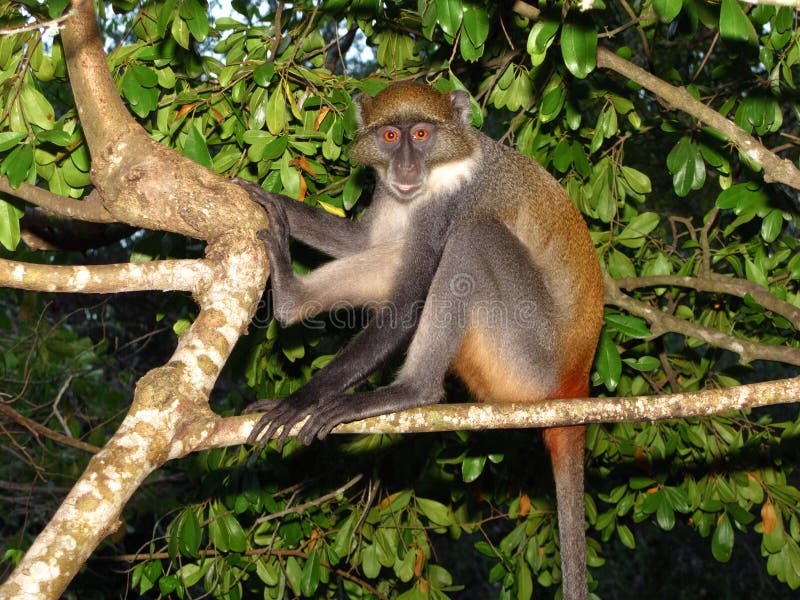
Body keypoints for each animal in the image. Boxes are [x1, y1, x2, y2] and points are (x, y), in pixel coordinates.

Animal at [236, 81, 604, 600]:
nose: (406, 167)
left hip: (530, 354)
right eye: (391, 135)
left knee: (473, 239)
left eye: (423, 134)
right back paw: (291, 297)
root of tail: (576, 380)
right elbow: (363, 243)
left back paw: (411, 390)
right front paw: (265, 199)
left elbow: (409, 300)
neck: (446, 165)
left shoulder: (448, 204)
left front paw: (301, 401)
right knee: (395, 251)